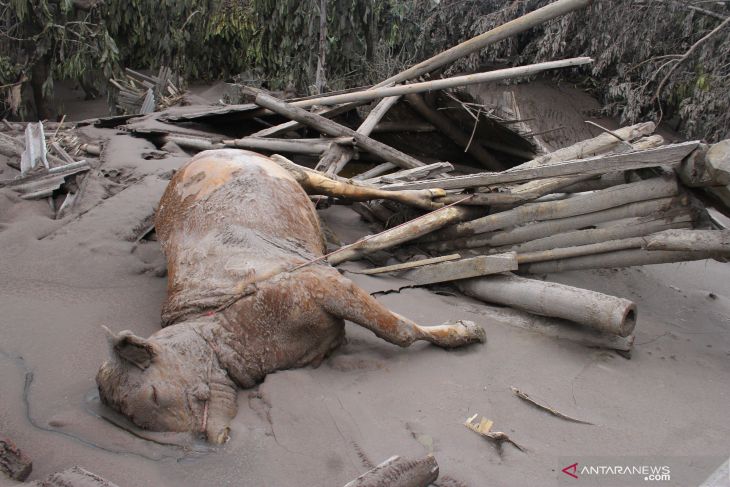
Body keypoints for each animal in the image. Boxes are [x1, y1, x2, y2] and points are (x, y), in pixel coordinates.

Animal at [95, 151, 484, 444]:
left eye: (155, 395)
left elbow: (399, 331)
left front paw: (463, 332)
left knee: (337, 182)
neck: (226, 331)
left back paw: (434, 194)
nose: (213, 438)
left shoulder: (323, 282)